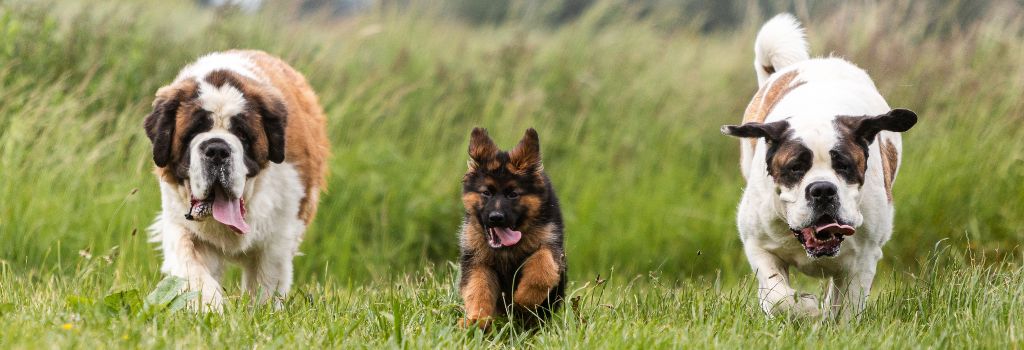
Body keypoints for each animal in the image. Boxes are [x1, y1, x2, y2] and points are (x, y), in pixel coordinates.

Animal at [144, 49, 325, 309]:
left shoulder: (278, 236)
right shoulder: (179, 223)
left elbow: (266, 282)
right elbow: (192, 268)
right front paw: (207, 305)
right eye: (193, 132)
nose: (217, 149)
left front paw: (261, 312)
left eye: (242, 133)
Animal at [458, 126, 569, 329]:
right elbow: (478, 287)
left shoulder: (551, 245)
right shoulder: (477, 259)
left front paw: (524, 300)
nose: (496, 218)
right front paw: (477, 320)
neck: (506, 250)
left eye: (513, 194)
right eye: (486, 193)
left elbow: (542, 266)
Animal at [720, 14, 921, 319]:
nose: (823, 190)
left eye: (845, 166)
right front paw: (806, 308)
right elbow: (777, 296)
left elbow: (848, 306)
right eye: (795, 168)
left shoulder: (864, 258)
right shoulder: (758, 243)